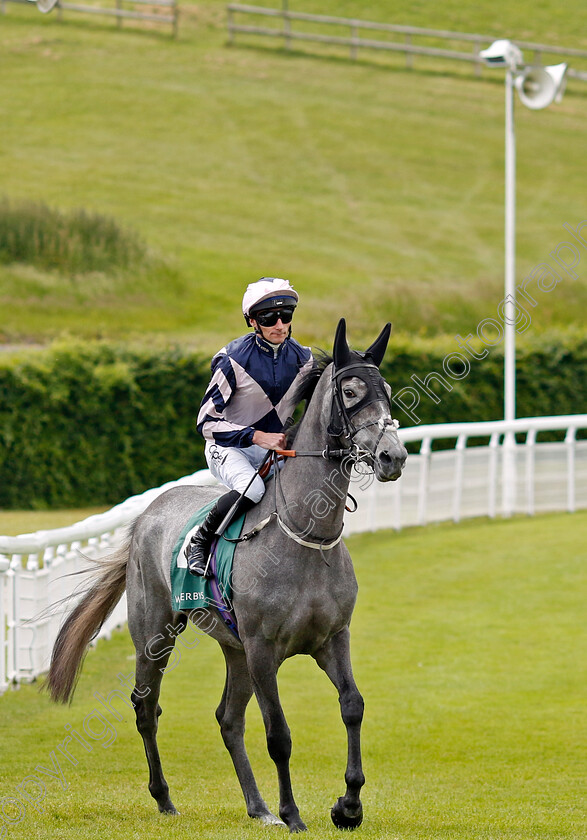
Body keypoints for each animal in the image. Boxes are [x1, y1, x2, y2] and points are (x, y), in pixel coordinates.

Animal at [44, 320, 408, 832]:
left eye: (389, 391)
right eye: (352, 391)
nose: (394, 456)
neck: (304, 534)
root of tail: (146, 515)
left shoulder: (332, 638)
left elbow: (352, 706)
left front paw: (348, 805)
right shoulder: (262, 648)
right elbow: (279, 734)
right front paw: (293, 814)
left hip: (233, 649)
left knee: (228, 718)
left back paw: (258, 807)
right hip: (156, 633)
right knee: (146, 706)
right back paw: (165, 798)